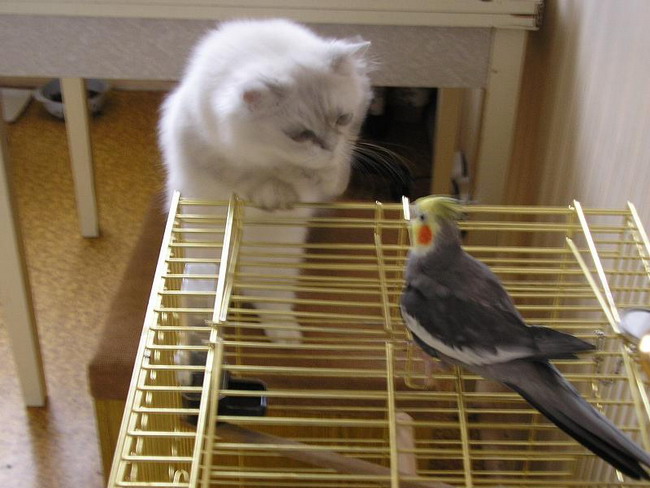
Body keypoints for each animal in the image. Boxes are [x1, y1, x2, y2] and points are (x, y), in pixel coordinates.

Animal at [159, 18, 373, 344]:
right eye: (301, 135)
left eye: (342, 119)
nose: (328, 146)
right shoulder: (210, 153)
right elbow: (255, 177)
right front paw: (278, 194)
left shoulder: (349, 138)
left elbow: (336, 168)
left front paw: (324, 177)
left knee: (270, 300)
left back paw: (286, 336)